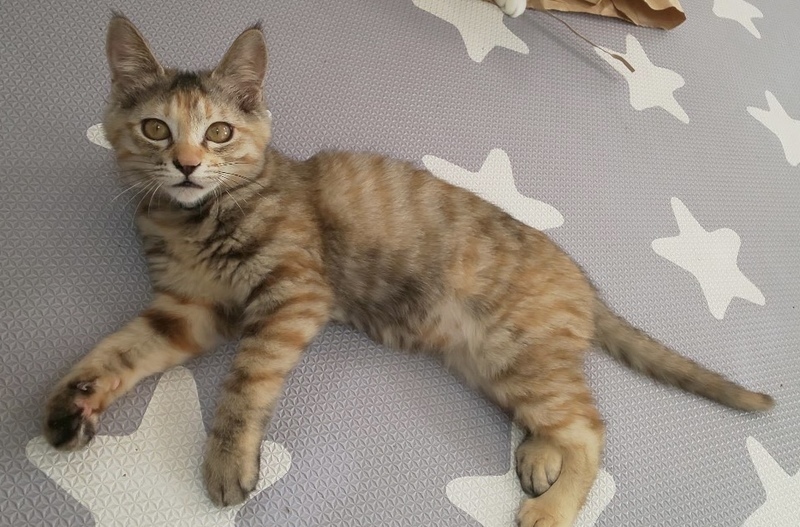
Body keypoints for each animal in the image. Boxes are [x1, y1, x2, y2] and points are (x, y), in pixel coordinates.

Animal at [43, 15, 773, 527]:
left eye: (218, 133)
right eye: (157, 130)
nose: (188, 165)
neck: (193, 220)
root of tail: (582, 280)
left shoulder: (291, 296)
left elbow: (242, 386)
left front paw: (227, 461)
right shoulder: (185, 310)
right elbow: (116, 350)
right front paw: (72, 401)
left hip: (516, 354)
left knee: (590, 428)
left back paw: (554, 505)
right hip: (494, 366)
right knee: (566, 417)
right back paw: (537, 456)